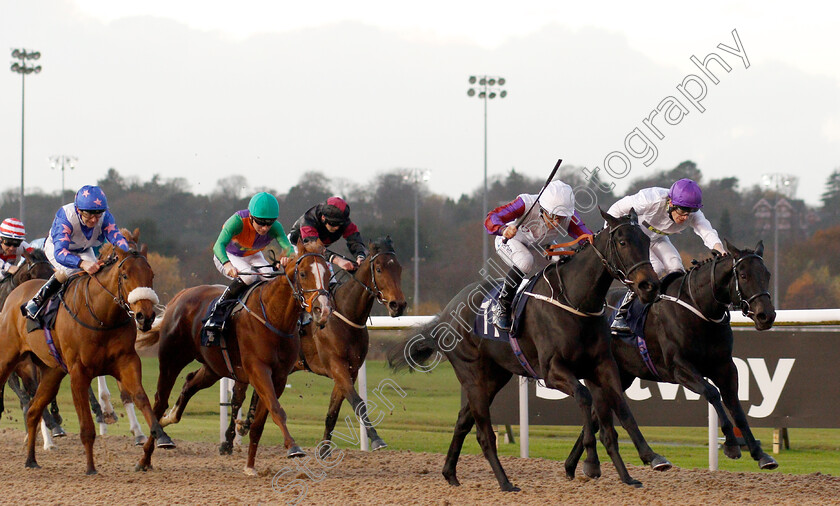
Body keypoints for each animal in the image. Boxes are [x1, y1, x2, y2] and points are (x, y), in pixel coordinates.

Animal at [0, 245, 173, 474]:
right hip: (10, 359)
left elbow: (140, 397)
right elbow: (87, 426)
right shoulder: (78, 372)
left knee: (33, 411)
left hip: (51, 372)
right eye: (125, 275)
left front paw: (161, 435)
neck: (102, 316)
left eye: (151, 275)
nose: (145, 317)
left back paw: (31, 460)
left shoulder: (127, 361)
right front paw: (90, 467)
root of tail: (13, 296)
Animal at [137, 239, 332, 476]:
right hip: (171, 359)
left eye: (328, 273)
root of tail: (180, 296)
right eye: (303, 273)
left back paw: (170, 417)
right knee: (159, 401)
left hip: (213, 366)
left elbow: (261, 421)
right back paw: (147, 456)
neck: (274, 317)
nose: (323, 310)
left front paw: (250, 465)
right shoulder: (258, 369)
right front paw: (293, 447)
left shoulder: (279, 376)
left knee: (190, 383)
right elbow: (277, 409)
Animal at [221, 237, 408, 454]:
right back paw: (227, 442)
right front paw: (376, 439)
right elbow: (358, 402)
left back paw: (246, 424)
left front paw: (325, 449)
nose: (398, 305)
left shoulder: (350, 370)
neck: (345, 315)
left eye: (399, 268)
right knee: (237, 398)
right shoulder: (336, 366)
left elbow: (333, 411)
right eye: (378, 269)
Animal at [390, 209, 672, 490]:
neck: (575, 300)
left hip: (494, 376)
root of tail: (447, 313)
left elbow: (622, 410)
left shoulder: (602, 366)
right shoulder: (552, 371)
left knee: (462, 420)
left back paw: (450, 473)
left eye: (646, 241)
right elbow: (584, 397)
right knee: (483, 433)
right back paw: (505, 482)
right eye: (622, 242)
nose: (649, 286)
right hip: (472, 375)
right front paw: (592, 463)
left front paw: (646, 461)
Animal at [564, 238, 780, 474]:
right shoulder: (679, 367)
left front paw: (760, 454)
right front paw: (731, 444)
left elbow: (736, 407)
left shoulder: (725, 367)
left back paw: (572, 465)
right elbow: (712, 393)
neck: (700, 309)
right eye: (743, 275)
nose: (766, 315)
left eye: (767, 274)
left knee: (594, 417)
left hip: (623, 375)